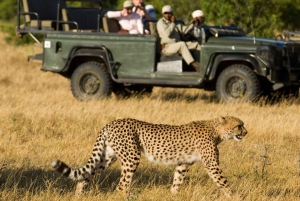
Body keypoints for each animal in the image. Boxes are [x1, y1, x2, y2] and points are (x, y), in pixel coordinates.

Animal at [51, 116, 247, 198]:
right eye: (239, 125)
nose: (246, 132)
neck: (217, 130)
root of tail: (112, 122)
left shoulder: (183, 163)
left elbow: (177, 180)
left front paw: (173, 195)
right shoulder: (212, 165)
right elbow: (223, 182)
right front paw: (236, 196)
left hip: (107, 157)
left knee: (84, 176)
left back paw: (78, 195)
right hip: (131, 157)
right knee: (122, 186)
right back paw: (129, 197)